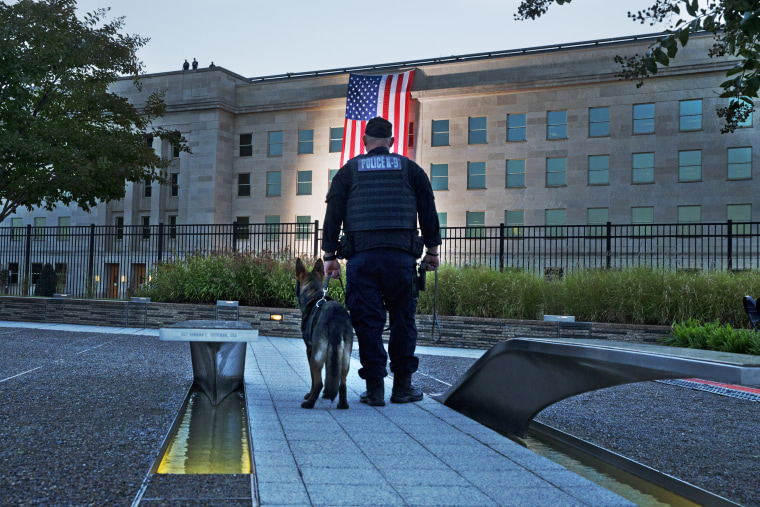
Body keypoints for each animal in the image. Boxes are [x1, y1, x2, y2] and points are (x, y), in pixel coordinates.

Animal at [296, 260, 356, 410]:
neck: (314, 293)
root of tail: (335, 318)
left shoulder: (310, 350)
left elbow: (313, 378)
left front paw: (309, 394)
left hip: (316, 357)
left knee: (318, 383)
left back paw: (309, 403)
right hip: (345, 357)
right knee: (343, 383)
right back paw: (342, 404)